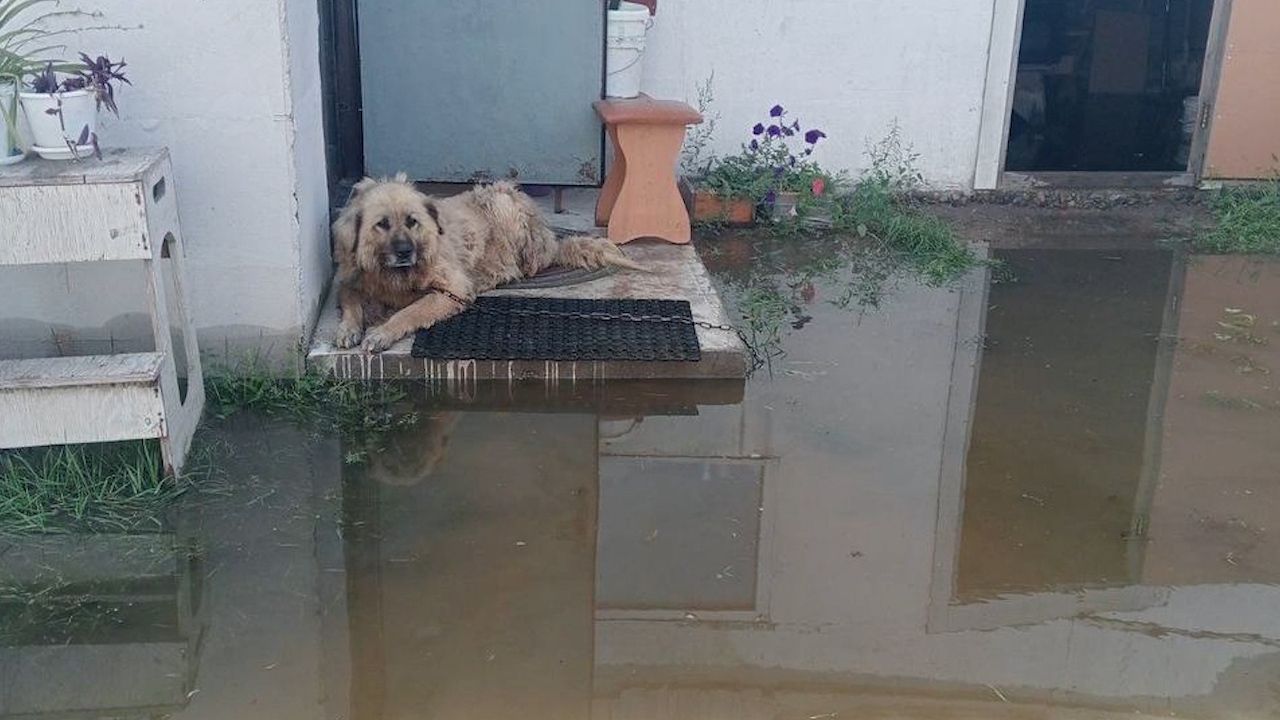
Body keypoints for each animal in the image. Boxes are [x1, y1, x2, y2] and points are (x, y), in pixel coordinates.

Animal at [330, 176, 640, 351]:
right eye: (382, 224)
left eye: (412, 221)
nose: (405, 252)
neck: (393, 274)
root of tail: (549, 237)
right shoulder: (349, 280)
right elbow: (351, 301)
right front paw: (348, 328)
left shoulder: (451, 290)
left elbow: (409, 312)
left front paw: (382, 332)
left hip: (501, 200)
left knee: (528, 263)